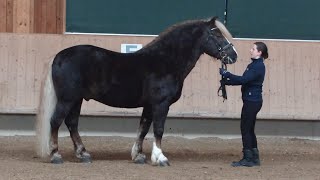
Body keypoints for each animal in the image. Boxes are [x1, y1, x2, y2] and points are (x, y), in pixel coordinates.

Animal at [35, 16, 238, 166]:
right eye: (217, 35)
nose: (233, 55)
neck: (166, 61)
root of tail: (59, 56)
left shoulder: (149, 105)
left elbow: (144, 128)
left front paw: (138, 156)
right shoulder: (161, 104)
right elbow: (158, 129)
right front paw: (160, 158)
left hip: (76, 100)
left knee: (72, 124)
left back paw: (83, 154)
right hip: (67, 99)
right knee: (55, 121)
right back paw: (55, 155)